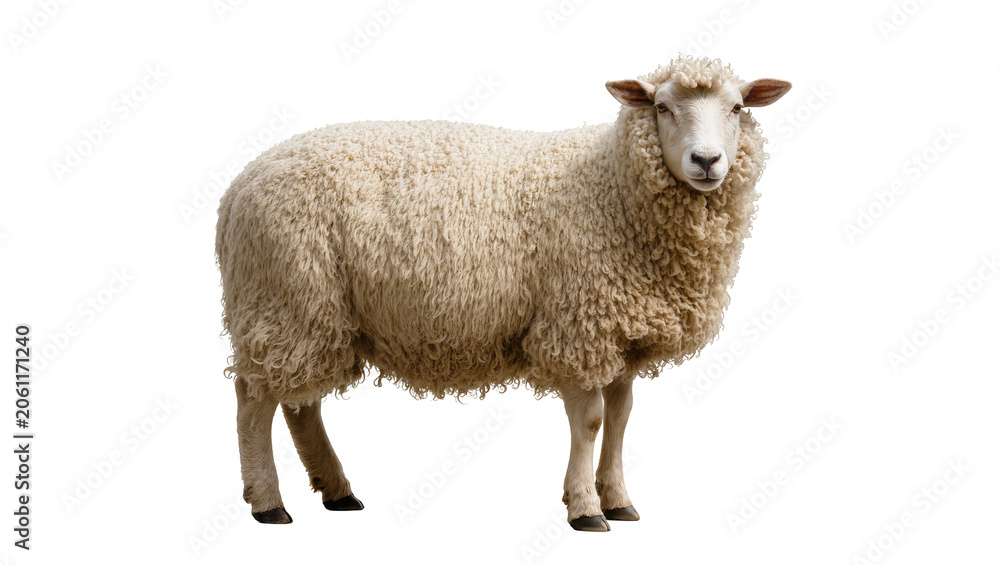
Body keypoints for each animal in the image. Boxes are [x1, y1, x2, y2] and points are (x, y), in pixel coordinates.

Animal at [216, 56, 791, 531]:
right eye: (663, 107)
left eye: (737, 107)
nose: (707, 161)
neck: (613, 185)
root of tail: (239, 186)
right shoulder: (577, 326)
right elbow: (590, 422)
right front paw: (585, 509)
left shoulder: (620, 333)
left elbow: (622, 418)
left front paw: (619, 500)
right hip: (284, 296)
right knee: (253, 401)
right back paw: (268, 502)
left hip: (311, 313)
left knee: (299, 402)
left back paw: (337, 492)